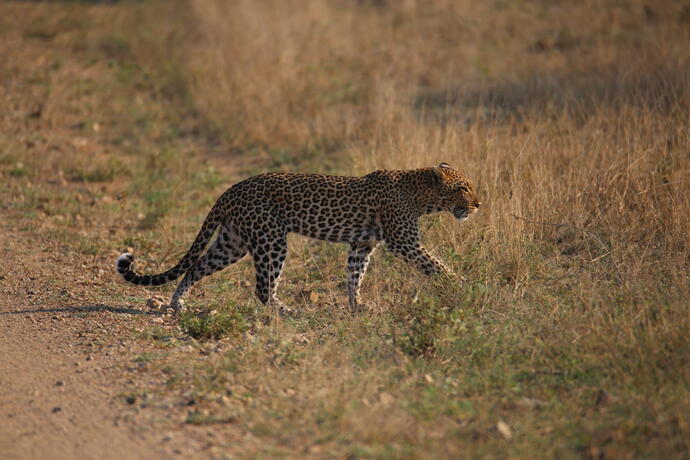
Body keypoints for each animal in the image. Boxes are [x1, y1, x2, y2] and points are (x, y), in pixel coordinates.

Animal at [115, 161, 478, 312]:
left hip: (232, 242)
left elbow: (354, 275)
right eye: (463, 188)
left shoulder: (362, 243)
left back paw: (178, 303)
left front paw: (357, 305)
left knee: (195, 266)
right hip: (270, 239)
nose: (477, 204)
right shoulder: (404, 242)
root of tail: (231, 190)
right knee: (262, 288)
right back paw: (286, 311)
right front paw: (461, 285)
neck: (421, 196)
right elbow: (436, 265)